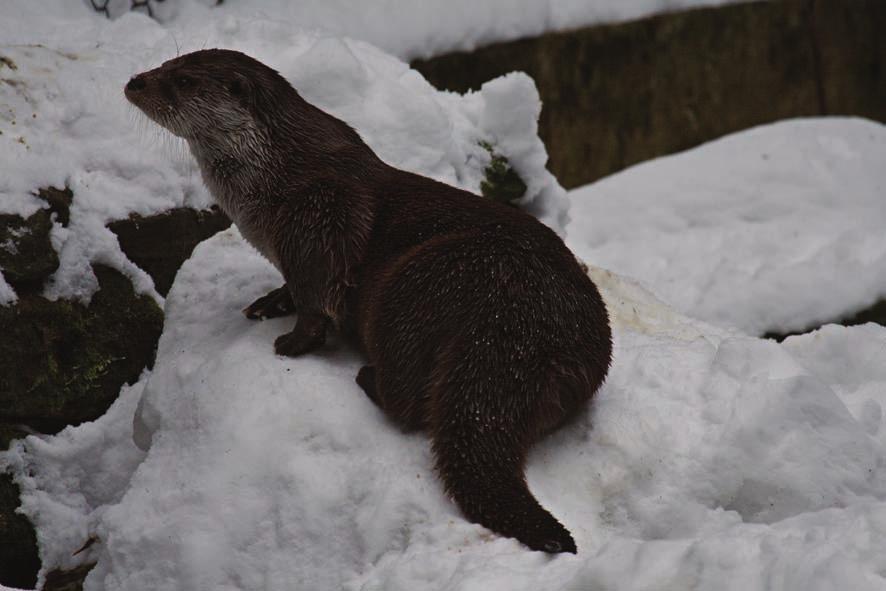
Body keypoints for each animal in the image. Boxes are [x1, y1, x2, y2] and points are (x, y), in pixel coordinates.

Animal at [123, 47, 612, 556]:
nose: (135, 82)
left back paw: (367, 377)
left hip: (415, 287)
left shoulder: (319, 215)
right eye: (167, 63)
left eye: (182, 80)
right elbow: (294, 289)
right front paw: (270, 301)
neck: (270, 183)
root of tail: (520, 325)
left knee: (410, 400)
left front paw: (293, 343)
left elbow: (317, 297)